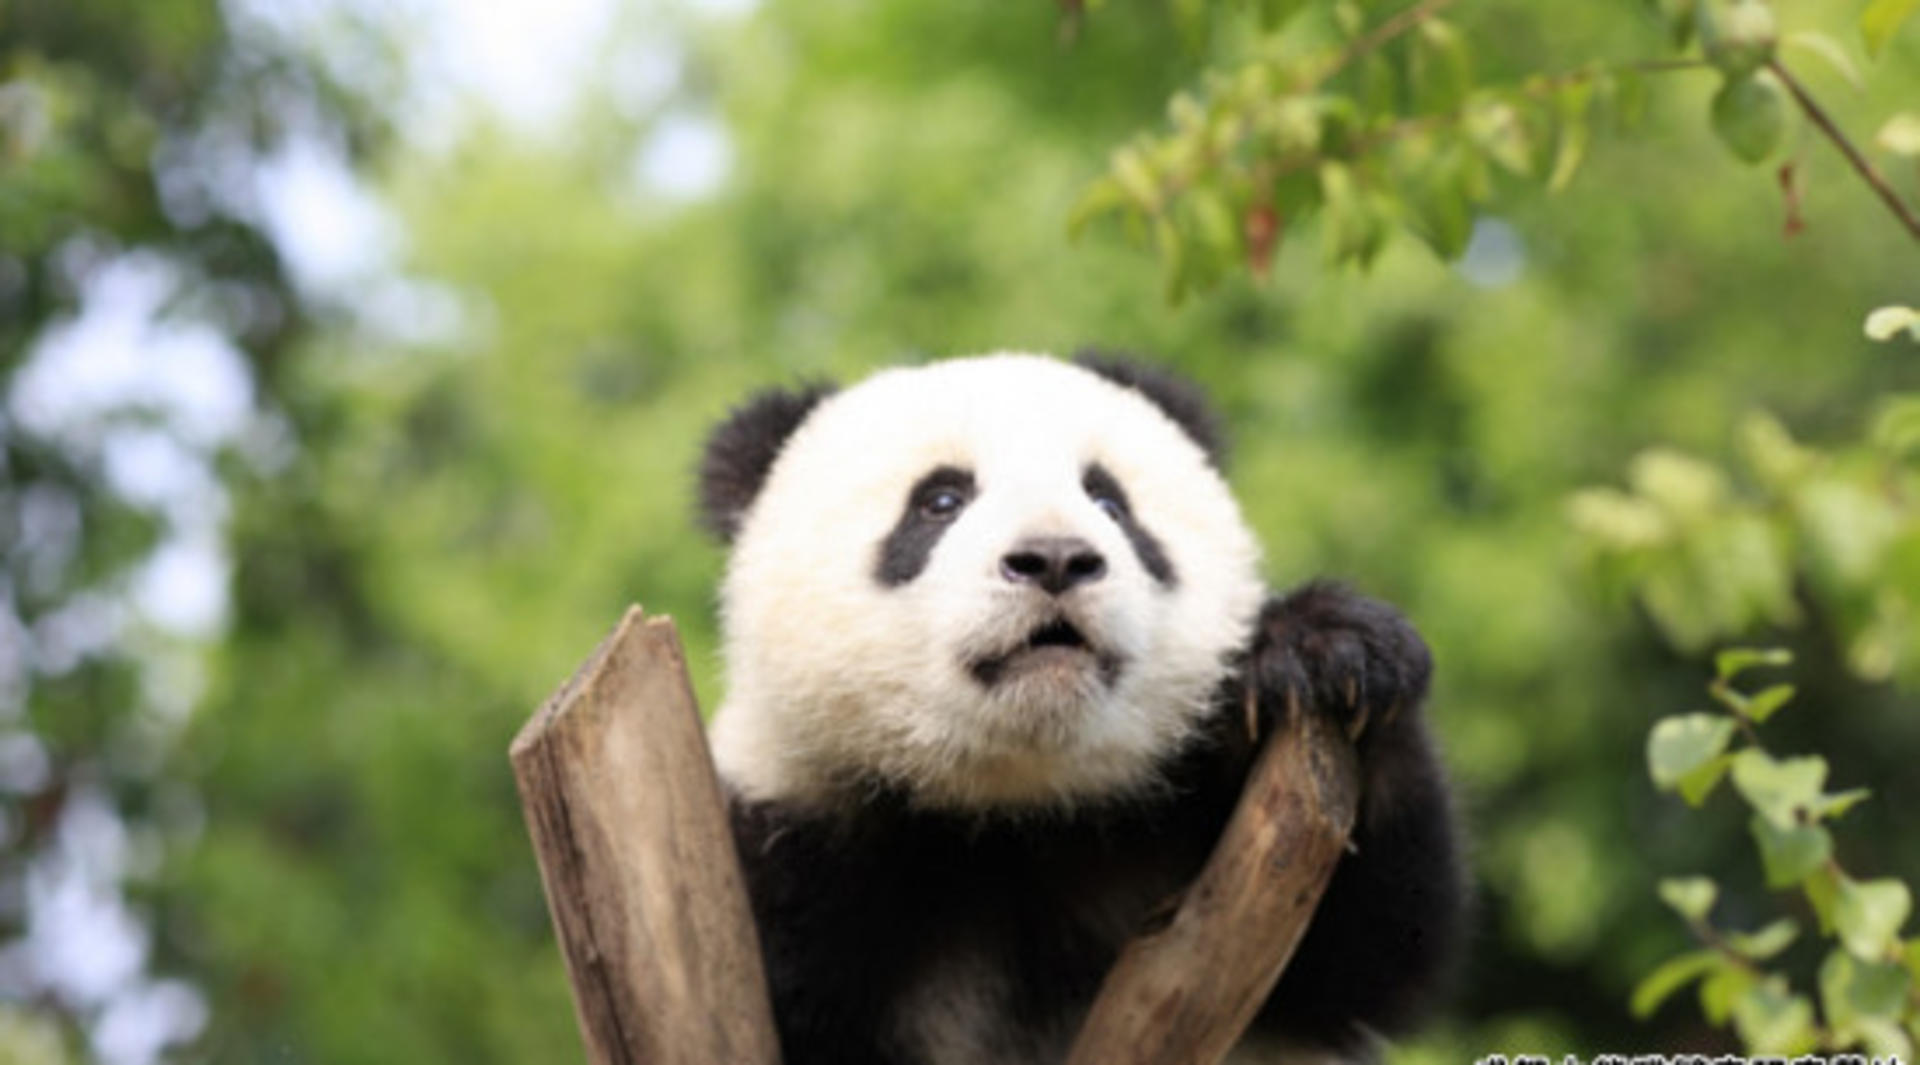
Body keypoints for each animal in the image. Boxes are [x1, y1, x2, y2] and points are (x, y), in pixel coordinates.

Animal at [696, 353, 1463, 1065]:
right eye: (940, 500)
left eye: (1109, 503)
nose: (1056, 558)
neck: (1014, 810)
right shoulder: (797, 847)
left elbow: (1370, 955)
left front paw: (1329, 650)